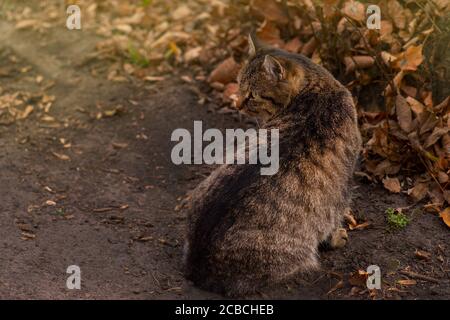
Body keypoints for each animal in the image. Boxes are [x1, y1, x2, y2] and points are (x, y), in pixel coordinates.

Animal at [183, 33, 362, 296]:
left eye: (253, 95)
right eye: (239, 85)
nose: (237, 104)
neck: (317, 89)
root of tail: (196, 265)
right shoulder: (343, 188)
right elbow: (333, 219)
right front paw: (336, 237)